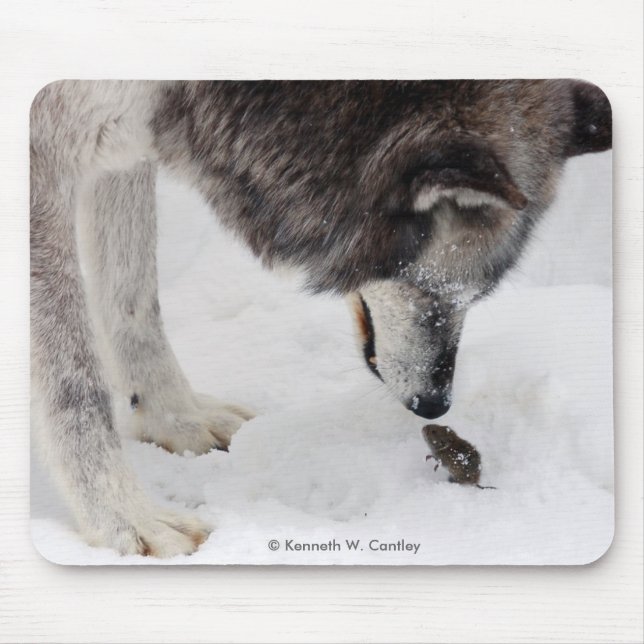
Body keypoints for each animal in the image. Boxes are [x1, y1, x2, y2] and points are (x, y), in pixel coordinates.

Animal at [30, 80, 611, 556]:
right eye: (431, 292)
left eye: (480, 296)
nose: (434, 405)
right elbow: (74, 384)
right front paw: (127, 520)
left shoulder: (129, 128)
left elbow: (135, 296)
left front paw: (175, 418)